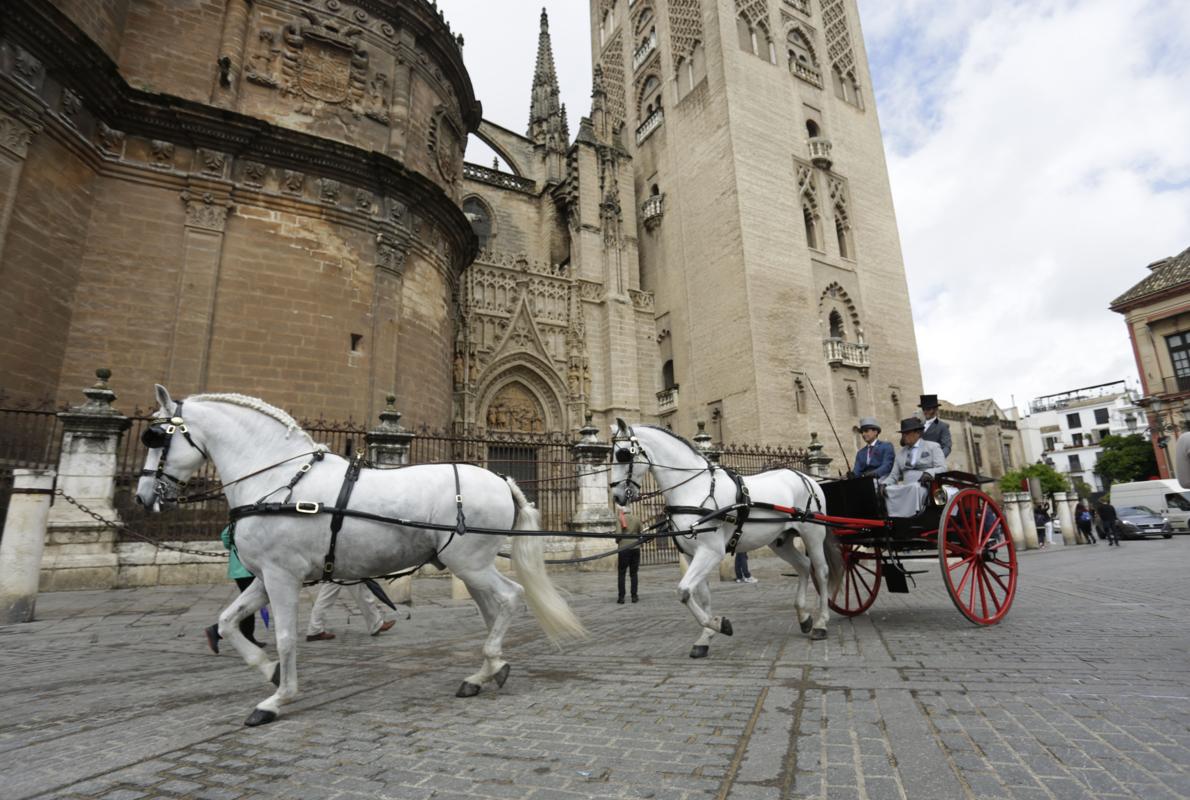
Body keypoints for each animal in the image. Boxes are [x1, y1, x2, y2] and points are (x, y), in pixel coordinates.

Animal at [136, 383, 583, 728]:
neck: (279, 480)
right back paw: (485, 673)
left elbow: (284, 637)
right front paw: (268, 670)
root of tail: (501, 478)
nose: (142, 497)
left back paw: (488, 663)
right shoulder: (265, 577)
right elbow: (228, 622)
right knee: (494, 609)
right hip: (470, 566)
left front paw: (277, 698)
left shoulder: (282, 577)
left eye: (157, 437)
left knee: (509, 598)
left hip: (470, 563)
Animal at [609, 421, 842, 652]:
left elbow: (683, 590)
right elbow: (700, 595)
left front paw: (719, 625)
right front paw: (707, 635)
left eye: (623, 454)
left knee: (821, 571)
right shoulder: (691, 555)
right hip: (780, 541)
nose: (617, 497)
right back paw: (804, 617)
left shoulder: (711, 552)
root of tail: (807, 478)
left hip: (812, 535)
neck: (695, 488)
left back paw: (821, 624)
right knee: (803, 565)